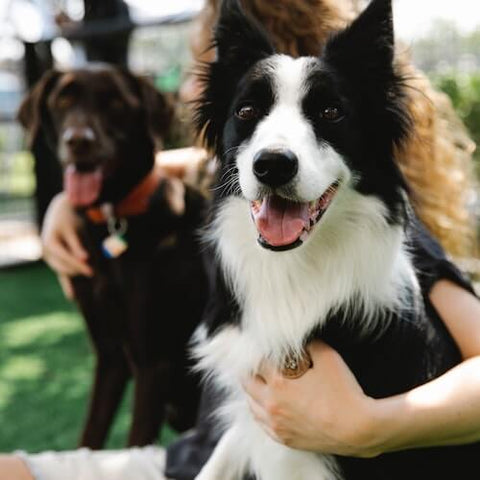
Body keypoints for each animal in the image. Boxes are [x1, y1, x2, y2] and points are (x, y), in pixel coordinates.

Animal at [19, 65, 207, 448]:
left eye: (117, 104)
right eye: (62, 100)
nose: (79, 141)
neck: (111, 217)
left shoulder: (152, 361)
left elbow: (135, 441)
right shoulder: (109, 356)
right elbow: (91, 433)